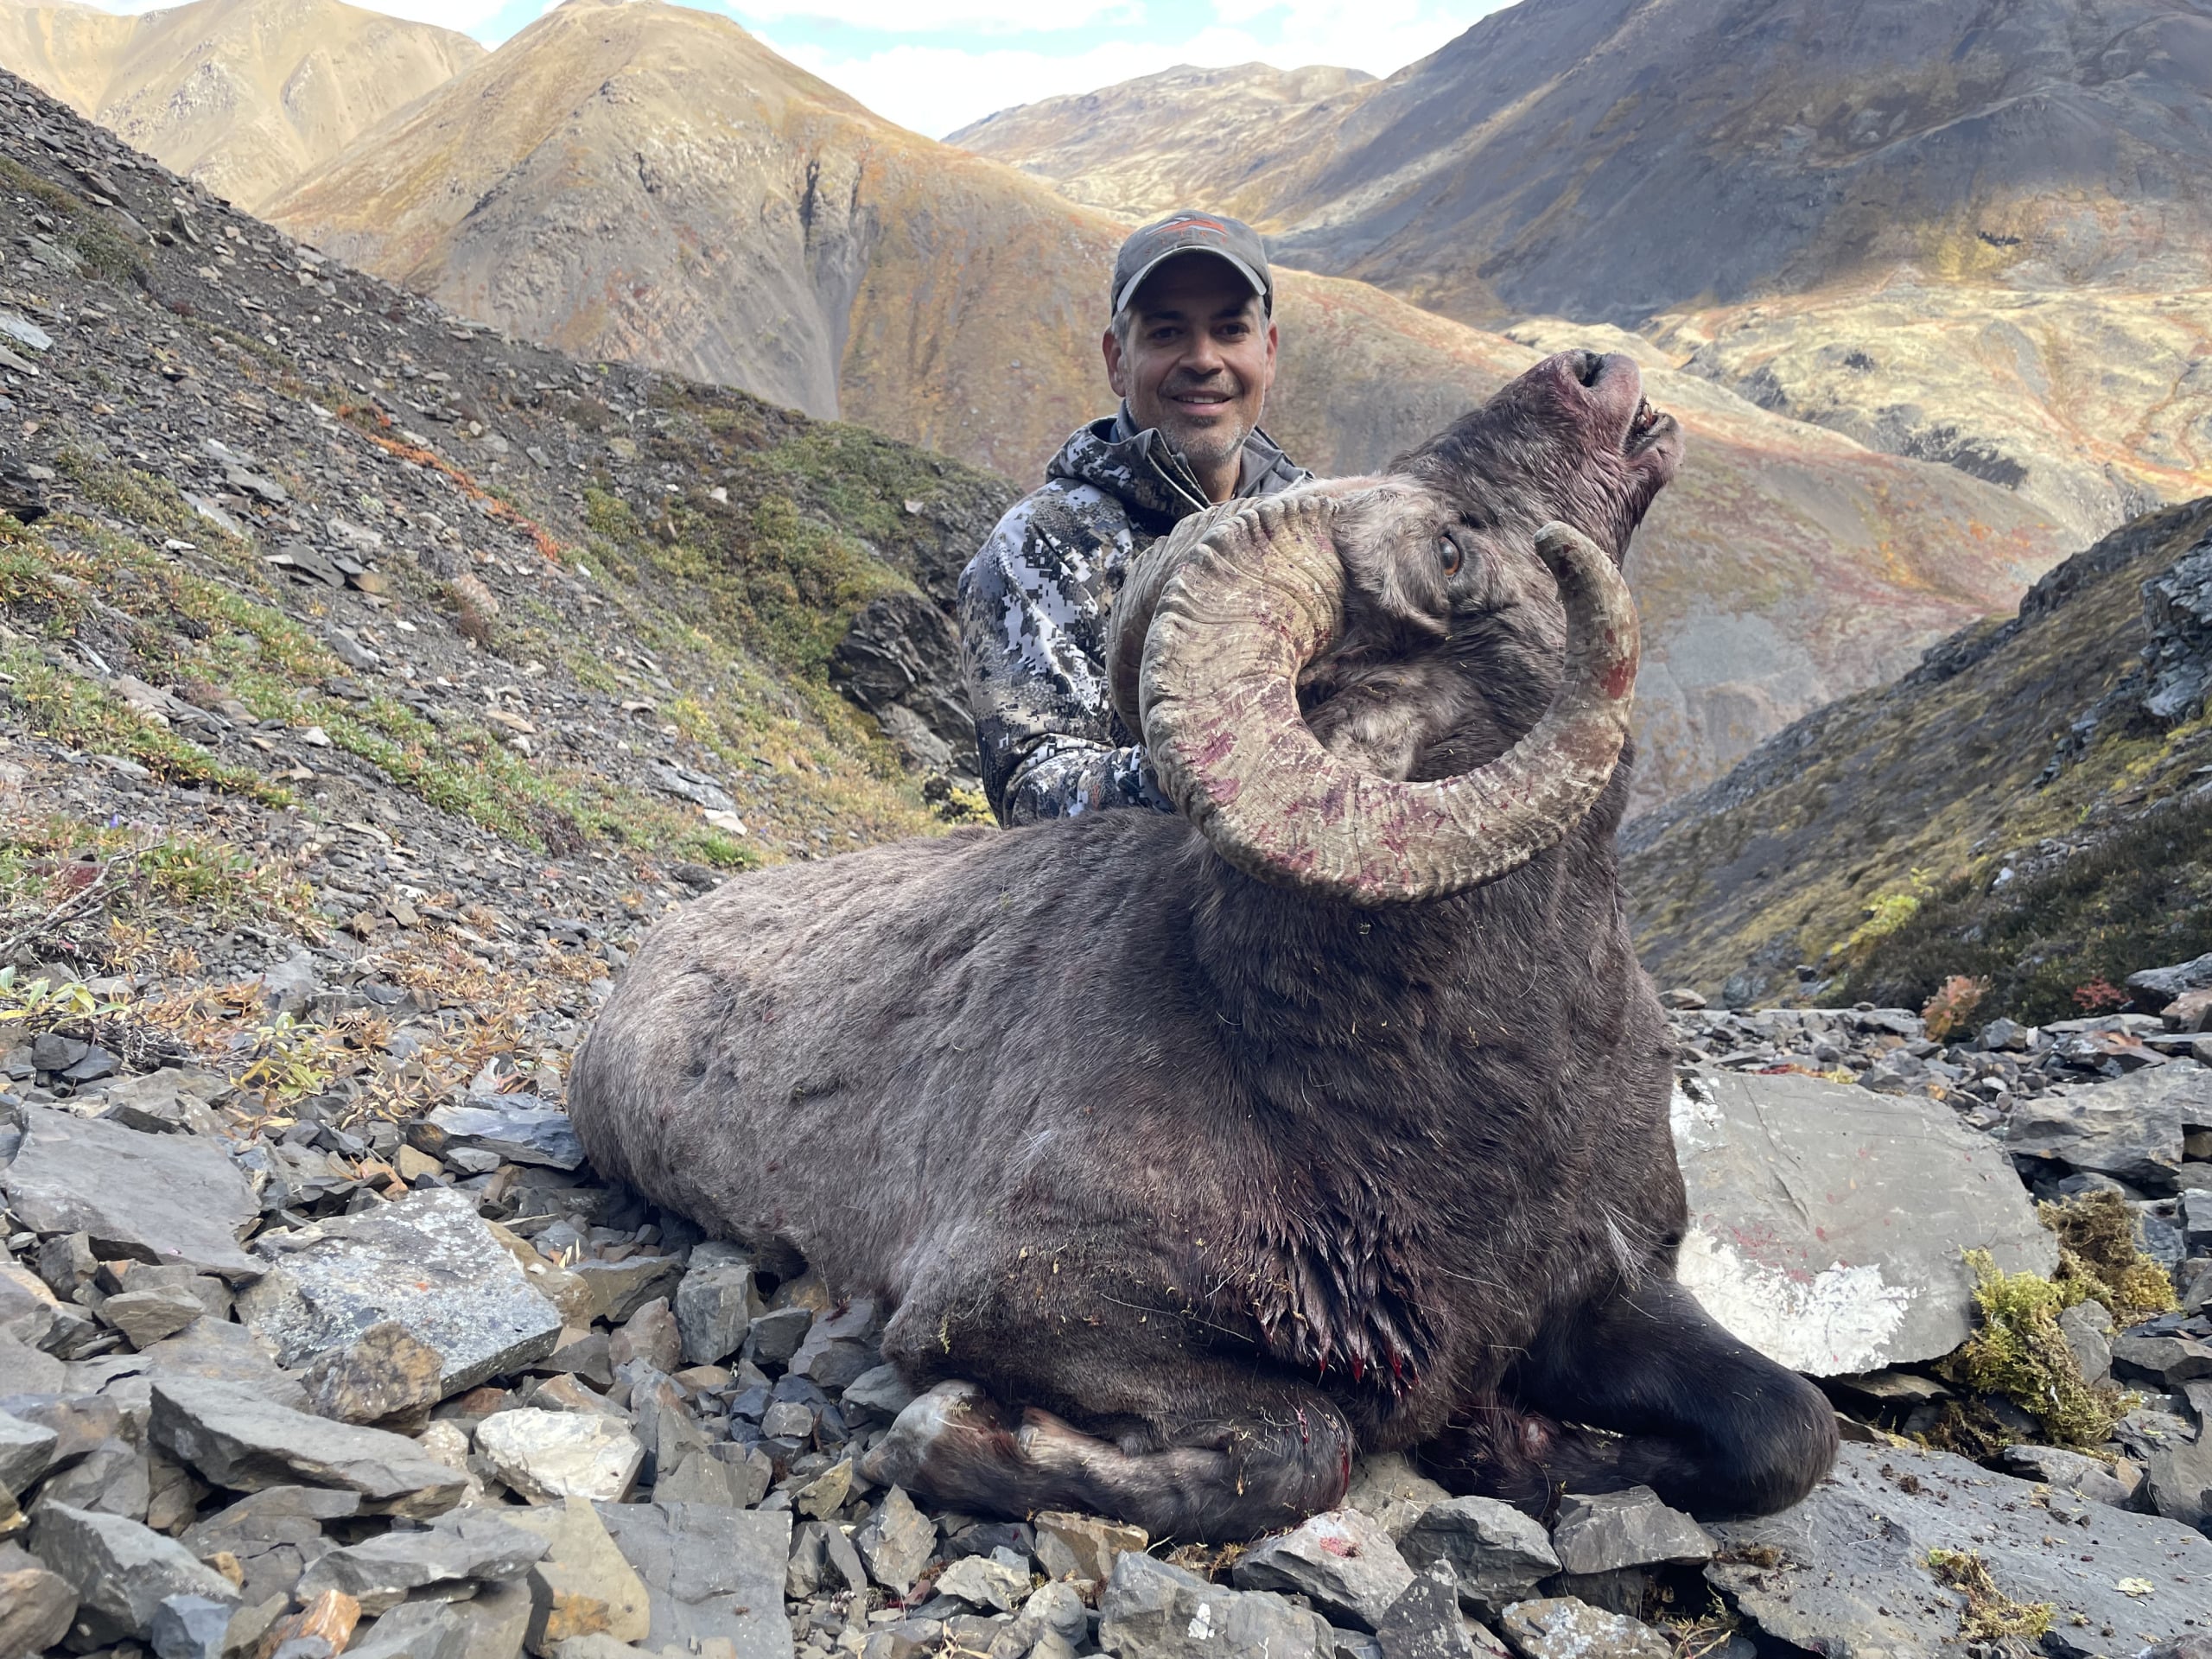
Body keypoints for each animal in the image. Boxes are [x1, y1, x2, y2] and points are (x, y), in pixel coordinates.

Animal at [569, 350, 1838, 1540]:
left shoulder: (1607, 1292)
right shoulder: (1021, 1299)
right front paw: (949, 1435)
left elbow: (1791, 1432)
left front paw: (1506, 1450)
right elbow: (1307, 1444)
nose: (1587, 372)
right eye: (1448, 554)